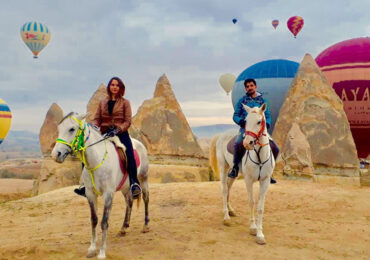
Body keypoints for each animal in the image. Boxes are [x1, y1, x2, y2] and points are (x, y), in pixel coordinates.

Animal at [51, 112, 150, 258]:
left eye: (71, 129)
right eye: (59, 129)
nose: (55, 155)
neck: (96, 161)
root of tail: (139, 143)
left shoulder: (108, 195)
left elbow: (104, 222)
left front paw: (102, 253)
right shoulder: (90, 194)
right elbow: (94, 220)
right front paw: (92, 249)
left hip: (143, 179)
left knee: (146, 198)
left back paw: (146, 225)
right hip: (125, 187)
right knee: (129, 202)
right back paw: (124, 227)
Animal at [210, 103, 276, 244]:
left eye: (259, 121)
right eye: (245, 121)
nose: (247, 143)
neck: (260, 156)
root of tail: (221, 135)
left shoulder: (265, 181)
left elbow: (260, 207)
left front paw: (260, 234)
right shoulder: (249, 180)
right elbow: (251, 202)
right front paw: (253, 228)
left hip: (233, 173)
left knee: (228, 186)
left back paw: (230, 210)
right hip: (223, 168)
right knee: (224, 189)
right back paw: (226, 217)